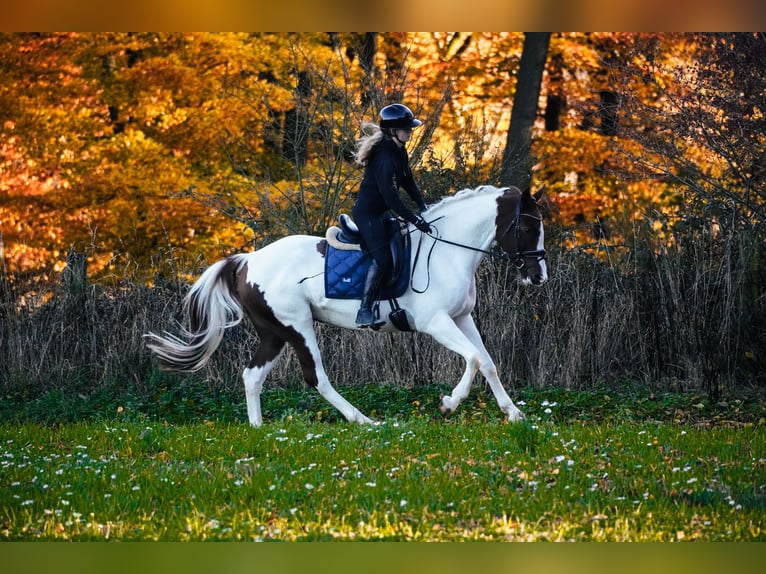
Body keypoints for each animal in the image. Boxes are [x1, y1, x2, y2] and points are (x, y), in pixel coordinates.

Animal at [144, 185, 547, 426]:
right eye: (528, 229)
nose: (538, 276)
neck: (449, 250)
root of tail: (248, 260)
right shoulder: (435, 323)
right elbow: (474, 359)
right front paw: (450, 403)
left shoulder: (462, 318)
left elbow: (488, 363)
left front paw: (514, 414)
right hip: (298, 328)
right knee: (316, 378)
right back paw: (363, 420)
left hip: (275, 332)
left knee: (252, 375)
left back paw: (258, 427)